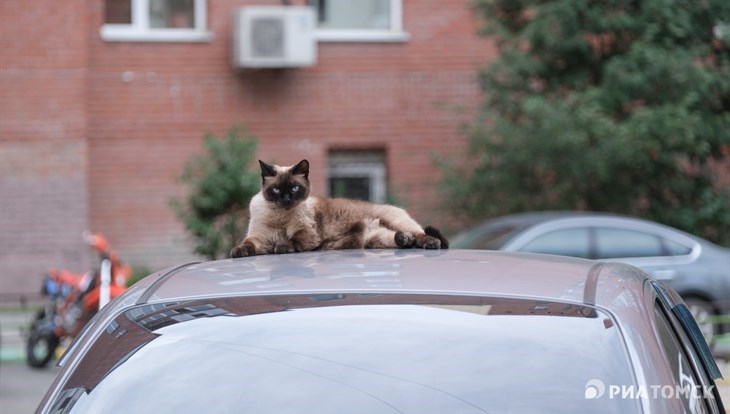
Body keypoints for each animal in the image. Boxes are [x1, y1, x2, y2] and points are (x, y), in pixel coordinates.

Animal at [230, 159, 446, 258]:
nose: (286, 199)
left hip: (394, 222)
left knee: (421, 234)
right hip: (374, 240)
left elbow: (292, 241)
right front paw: (237, 251)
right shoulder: (259, 238)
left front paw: (281, 247)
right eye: (276, 190)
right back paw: (403, 240)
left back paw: (429, 243)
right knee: (400, 239)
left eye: (294, 188)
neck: (280, 216)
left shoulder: (306, 234)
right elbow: (247, 244)